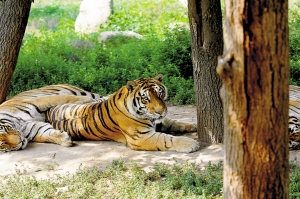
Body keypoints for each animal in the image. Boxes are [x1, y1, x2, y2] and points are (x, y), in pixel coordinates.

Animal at [45, 73, 200, 152]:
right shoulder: (141, 138)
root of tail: (49, 110)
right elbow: (167, 139)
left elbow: (177, 122)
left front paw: (194, 125)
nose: (161, 111)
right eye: (146, 98)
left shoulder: (161, 122)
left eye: (160, 94)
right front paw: (191, 144)